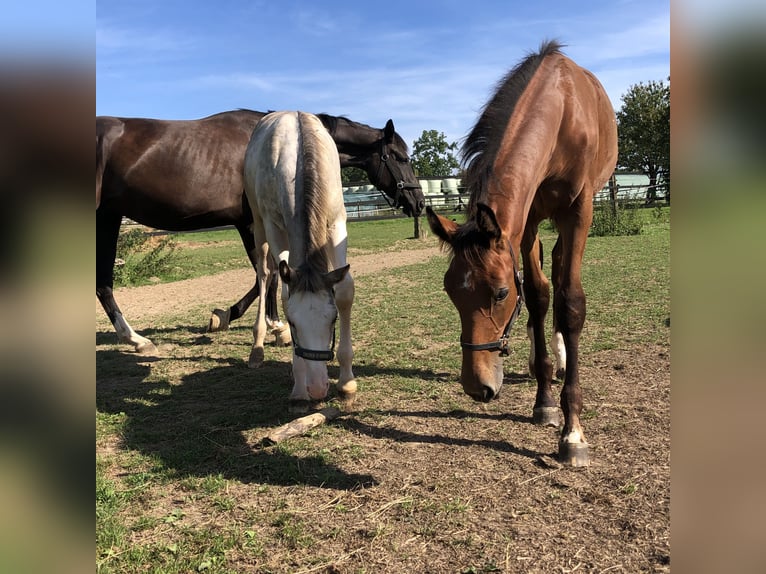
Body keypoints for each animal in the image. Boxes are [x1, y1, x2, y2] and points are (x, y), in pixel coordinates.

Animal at [94, 109, 426, 356]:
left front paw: (227, 315)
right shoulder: (255, 222)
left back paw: (134, 338)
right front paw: (276, 327)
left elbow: (264, 275)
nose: (419, 202)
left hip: (108, 217)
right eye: (401, 157)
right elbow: (270, 272)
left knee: (103, 284)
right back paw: (136, 339)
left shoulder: (251, 224)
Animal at [243, 111, 356, 404]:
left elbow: (345, 290)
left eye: (333, 319)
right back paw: (257, 347)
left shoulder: (337, 222)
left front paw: (347, 382)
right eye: (294, 323)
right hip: (259, 225)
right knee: (264, 273)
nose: (317, 388)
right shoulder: (274, 227)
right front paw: (299, 385)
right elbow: (284, 293)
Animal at [428, 41, 620, 468]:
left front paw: (573, 432)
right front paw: (545, 401)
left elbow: (570, 302)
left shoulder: (579, 211)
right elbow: (536, 294)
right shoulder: (528, 218)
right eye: (451, 292)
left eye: (500, 293)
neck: (562, 111)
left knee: (563, 272)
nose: (476, 385)